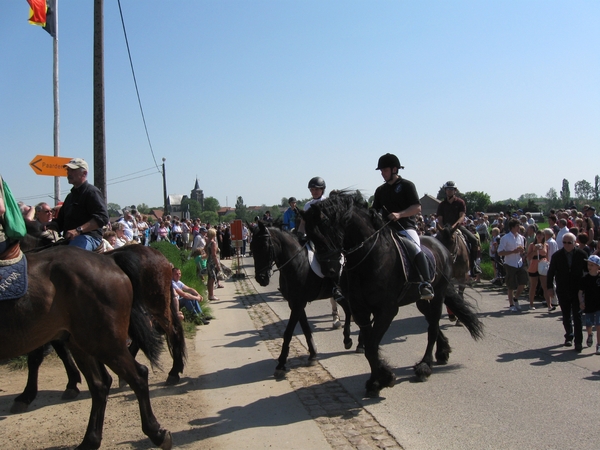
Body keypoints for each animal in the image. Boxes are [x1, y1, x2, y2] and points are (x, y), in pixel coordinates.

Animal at [0, 246, 171, 450]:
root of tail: (110, 260)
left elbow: (36, 358)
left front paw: (27, 396)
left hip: (104, 342)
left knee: (137, 376)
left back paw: (156, 432)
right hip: (83, 343)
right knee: (100, 385)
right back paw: (90, 440)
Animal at [250, 220, 358, 378]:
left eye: (264, 246)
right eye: (252, 247)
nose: (261, 278)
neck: (297, 263)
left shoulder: (298, 303)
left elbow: (288, 332)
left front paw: (281, 364)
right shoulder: (295, 303)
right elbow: (306, 328)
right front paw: (312, 355)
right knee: (348, 309)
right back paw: (347, 339)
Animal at [300, 192, 482, 396]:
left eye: (326, 231)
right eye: (310, 236)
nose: (329, 271)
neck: (368, 257)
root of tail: (441, 246)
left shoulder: (386, 310)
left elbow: (372, 346)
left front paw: (385, 378)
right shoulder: (360, 310)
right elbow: (369, 346)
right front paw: (376, 380)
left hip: (438, 296)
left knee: (433, 328)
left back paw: (425, 366)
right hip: (421, 301)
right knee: (432, 322)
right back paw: (442, 352)